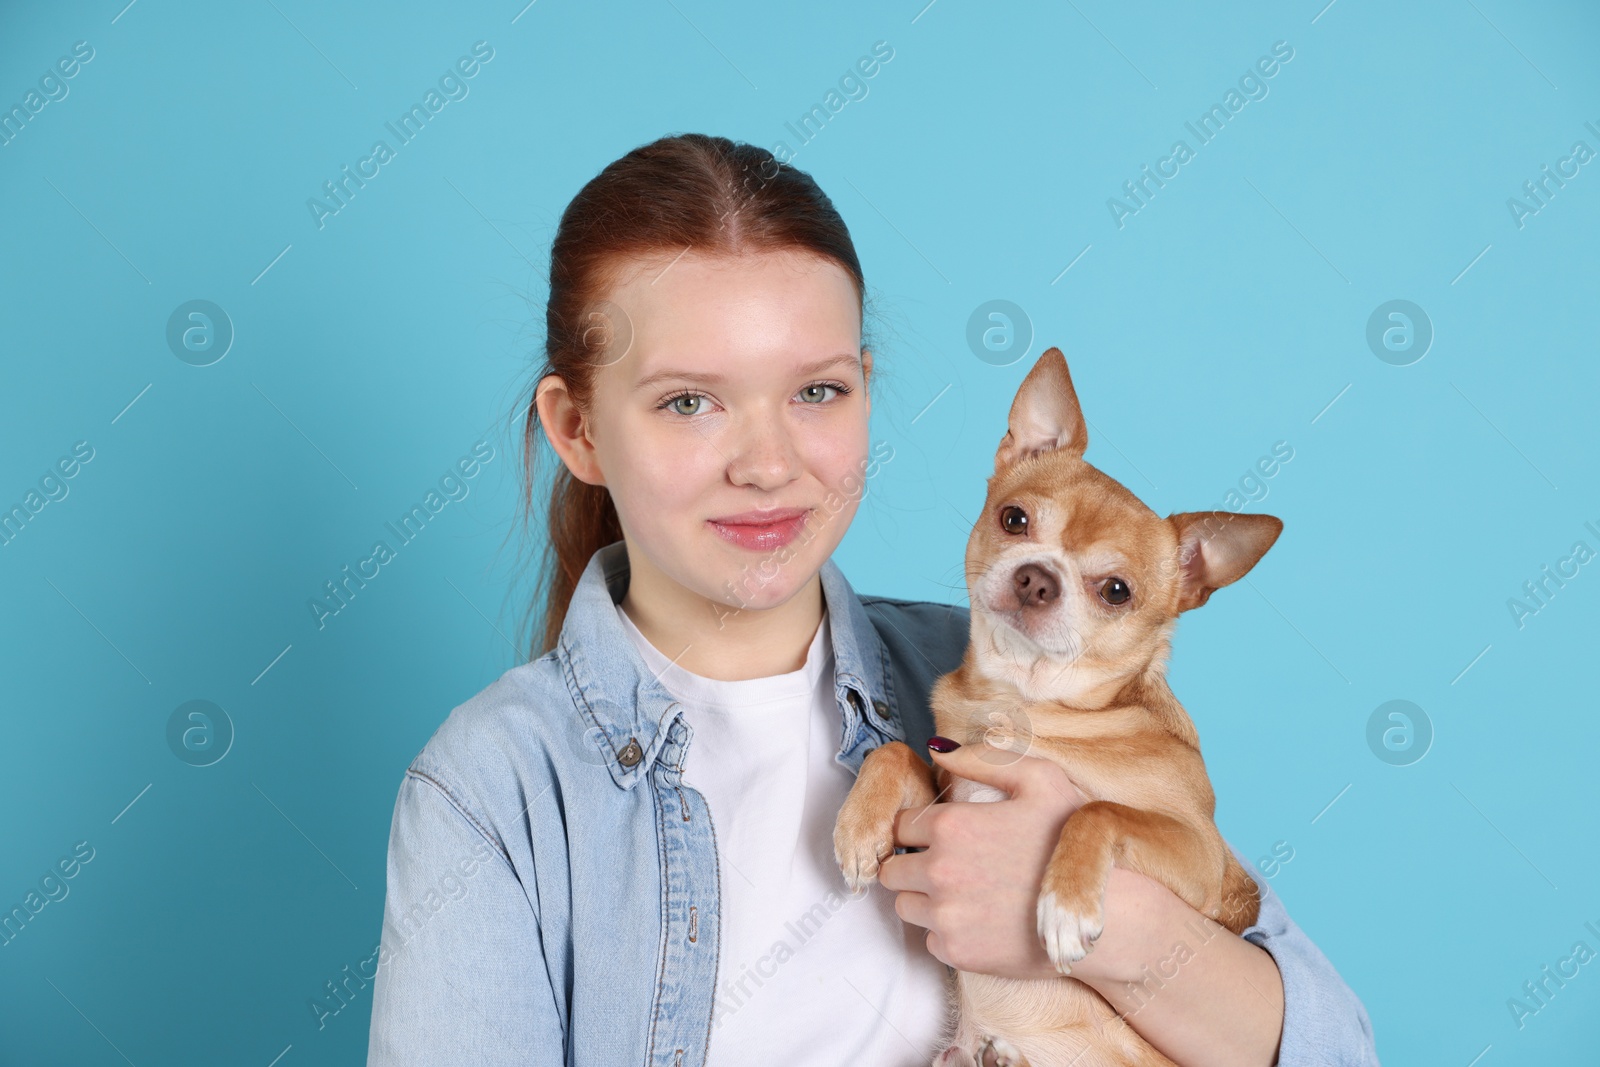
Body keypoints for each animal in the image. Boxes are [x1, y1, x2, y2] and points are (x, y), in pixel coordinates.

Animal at [832, 347, 1280, 1062]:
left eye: (1117, 590)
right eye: (1014, 519)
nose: (1037, 577)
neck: (1022, 704)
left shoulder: (1202, 856)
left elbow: (1098, 809)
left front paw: (1066, 905)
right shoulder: (942, 794)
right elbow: (897, 751)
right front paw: (859, 827)